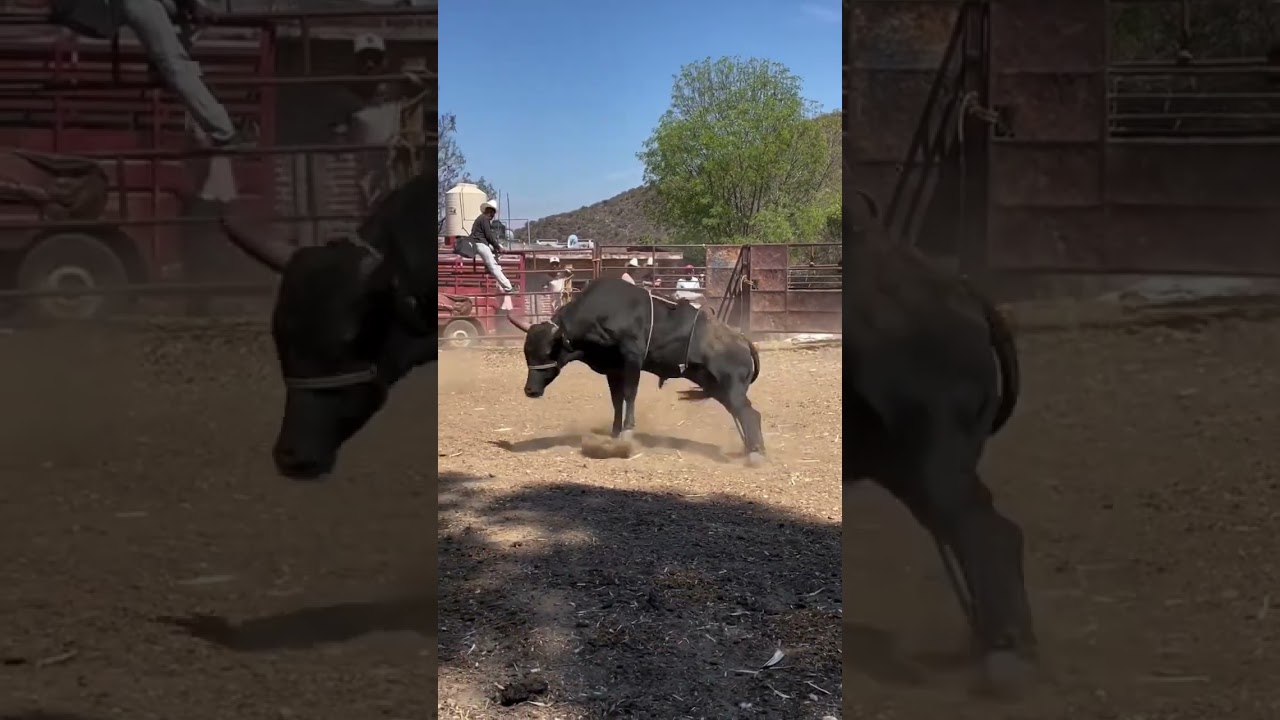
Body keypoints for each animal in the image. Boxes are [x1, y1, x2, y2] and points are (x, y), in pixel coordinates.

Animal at [507, 278, 765, 465]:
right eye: (527, 353)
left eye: (547, 352)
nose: (530, 390)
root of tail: (742, 339)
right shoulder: (613, 368)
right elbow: (616, 399)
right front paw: (614, 432)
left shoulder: (632, 357)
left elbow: (630, 394)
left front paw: (627, 432)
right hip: (717, 386)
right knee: (743, 414)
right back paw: (751, 449)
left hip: (731, 387)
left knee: (750, 414)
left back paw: (756, 454)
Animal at [843, 191, 1034, 694]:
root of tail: (962, 294)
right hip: (904, 462)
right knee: (961, 528)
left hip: (933, 456)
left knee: (983, 527)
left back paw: (1005, 651)